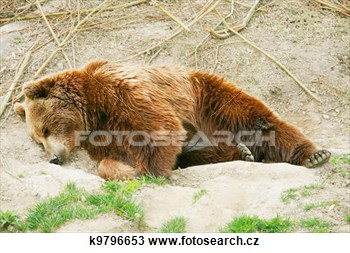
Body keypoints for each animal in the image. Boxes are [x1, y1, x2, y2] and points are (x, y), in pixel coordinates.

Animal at [14, 60, 330, 180]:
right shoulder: (104, 133)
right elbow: (112, 158)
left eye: (44, 130)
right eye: (37, 139)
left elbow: (160, 127)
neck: (92, 109)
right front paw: (127, 171)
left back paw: (314, 154)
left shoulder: (123, 94)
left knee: (258, 120)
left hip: (208, 99)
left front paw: (151, 171)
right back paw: (242, 152)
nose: (53, 158)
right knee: (197, 154)